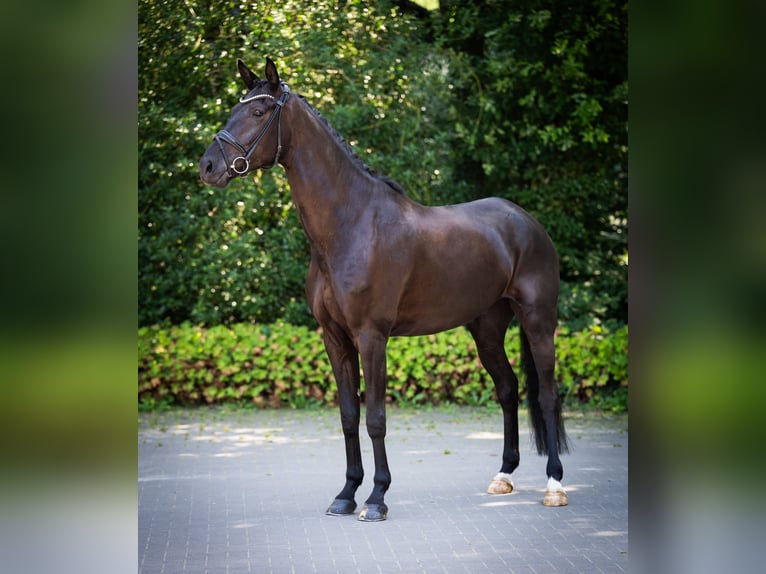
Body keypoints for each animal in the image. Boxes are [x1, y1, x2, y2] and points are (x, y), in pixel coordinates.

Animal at [199, 58, 569, 521]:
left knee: (549, 395)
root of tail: (526, 222)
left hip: (538, 321)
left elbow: (375, 417)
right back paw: (503, 476)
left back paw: (555, 484)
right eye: (235, 107)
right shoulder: (334, 338)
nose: (207, 166)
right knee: (508, 389)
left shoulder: (372, 336)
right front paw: (345, 493)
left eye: (258, 111)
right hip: (486, 328)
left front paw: (376, 498)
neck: (350, 224)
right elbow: (348, 415)